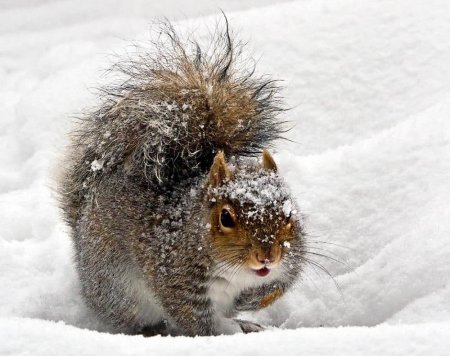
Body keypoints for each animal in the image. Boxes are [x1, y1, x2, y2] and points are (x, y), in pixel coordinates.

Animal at [58, 18, 304, 336]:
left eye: (288, 214)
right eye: (225, 218)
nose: (266, 257)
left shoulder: (292, 260)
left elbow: (276, 287)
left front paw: (248, 304)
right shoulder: (175, 274)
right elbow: (193, 319)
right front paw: (223, 334)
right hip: (117, 289)